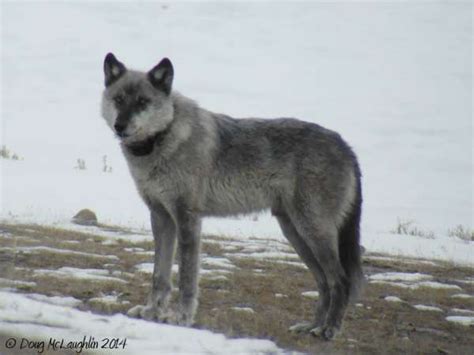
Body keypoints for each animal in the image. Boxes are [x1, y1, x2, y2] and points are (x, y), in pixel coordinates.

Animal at [102, 53, 364, 342]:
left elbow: (186, 278)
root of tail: (346, 146)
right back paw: (311, 326)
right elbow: (159, 275)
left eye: (142, 102)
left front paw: (181, 317)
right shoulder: (161, 218)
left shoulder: (187, 219)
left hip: (312, 232)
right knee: (323, 282)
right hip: (295, 234)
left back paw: (330, 329)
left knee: (341, 280)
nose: (120, 125)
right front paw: (151, 312)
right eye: (119, 99)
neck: (164, 137)